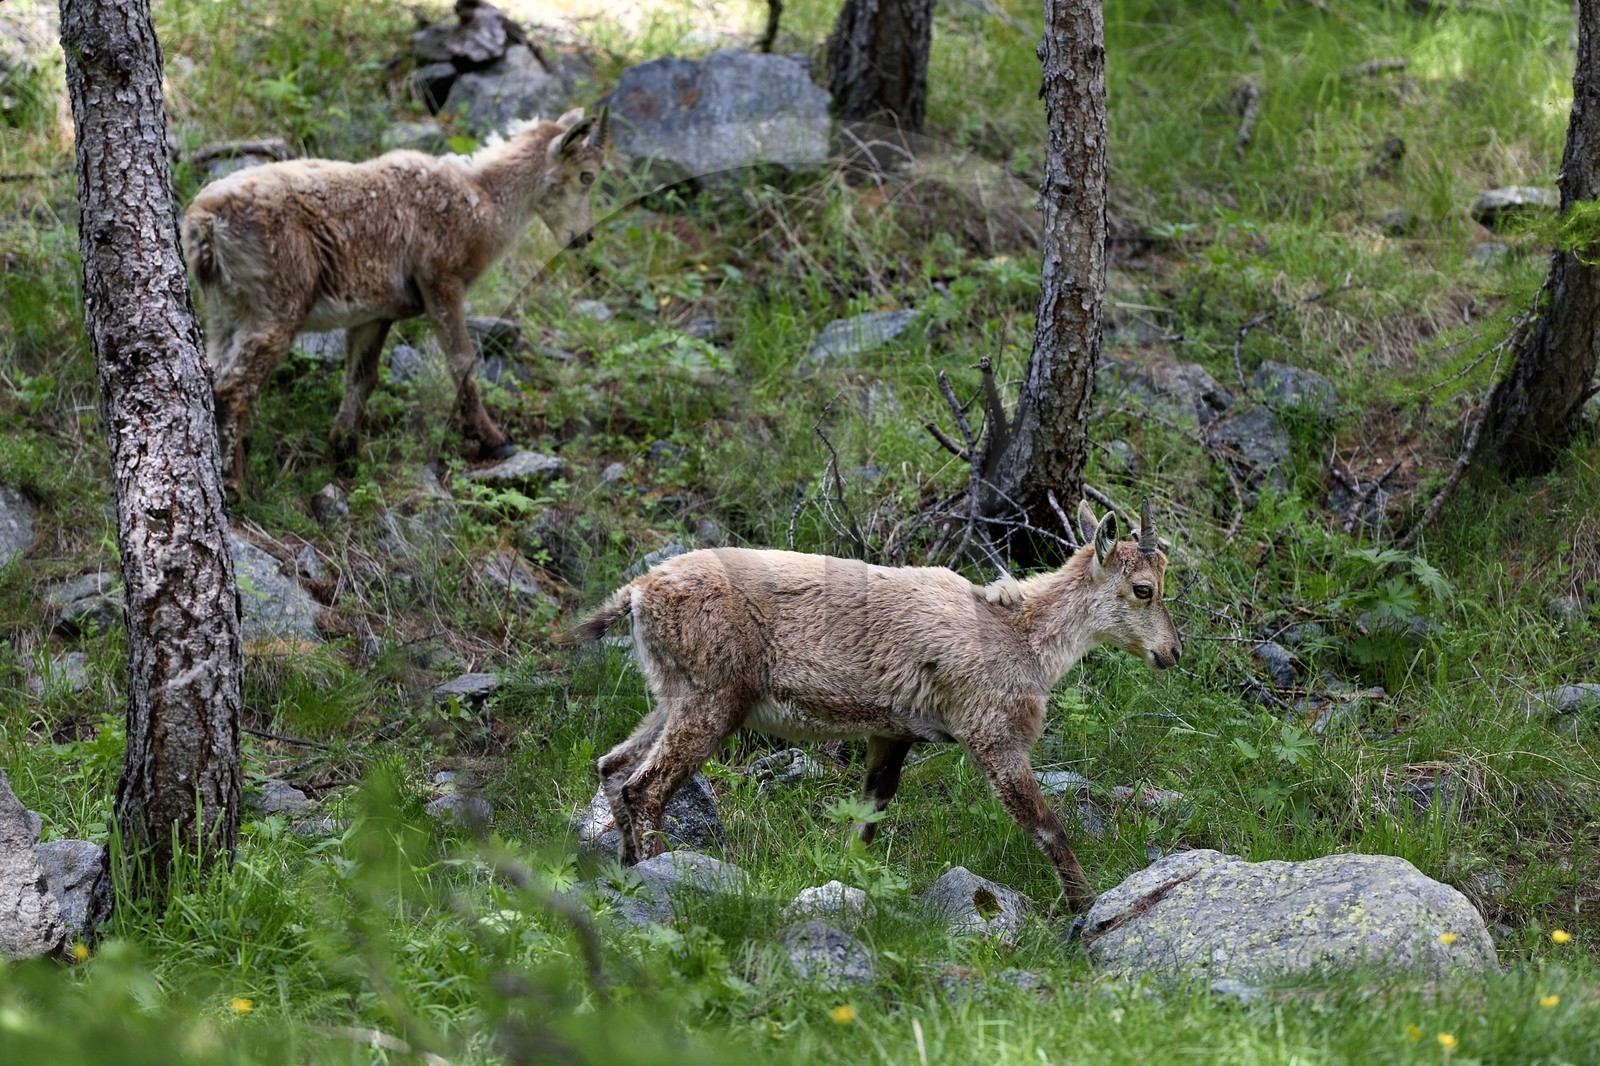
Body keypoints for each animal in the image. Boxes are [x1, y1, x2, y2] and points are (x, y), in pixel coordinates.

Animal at [179, 107, 609, 493]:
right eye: (587, 176)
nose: (586, 237)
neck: (484, 200)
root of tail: (205, 222)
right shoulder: (440, 278)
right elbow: (462, 361)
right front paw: (495, 440)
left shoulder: (372, 313)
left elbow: (362, 377)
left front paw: (345, 451)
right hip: (277, 300)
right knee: (234, 386)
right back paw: (234, 481)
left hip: (224, 308)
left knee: (215, 372)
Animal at [569, 498, 1183, 911]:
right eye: (1144, 589)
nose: (1172, 652)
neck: (1019, 634)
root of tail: (640, 590)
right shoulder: (991, 733)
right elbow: (1045, 824)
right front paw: (1086, 905)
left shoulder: (893, 732)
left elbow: (869, 815)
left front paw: (850, 883)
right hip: (712, 698)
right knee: (645, 787)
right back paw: (657, 874)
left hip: (672, 694)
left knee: (613, 765)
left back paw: (624, 870)